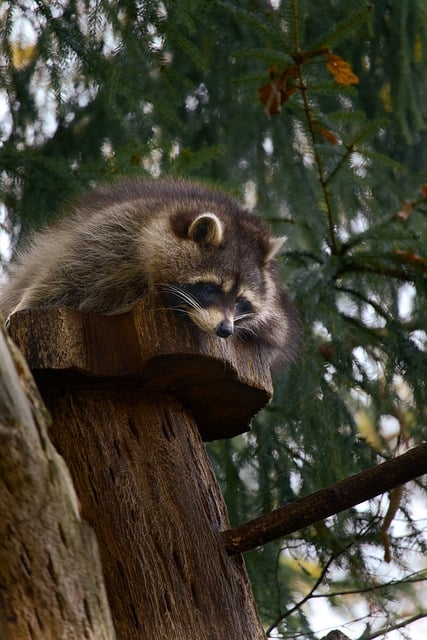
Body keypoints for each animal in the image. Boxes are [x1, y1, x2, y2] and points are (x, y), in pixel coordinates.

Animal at [0, 178, 301, 368]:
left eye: (240, 301)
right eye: (209, 288)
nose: (225, 330)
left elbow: (277, 329)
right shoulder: (117, 231)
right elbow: (65, 275)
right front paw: (26, 305)